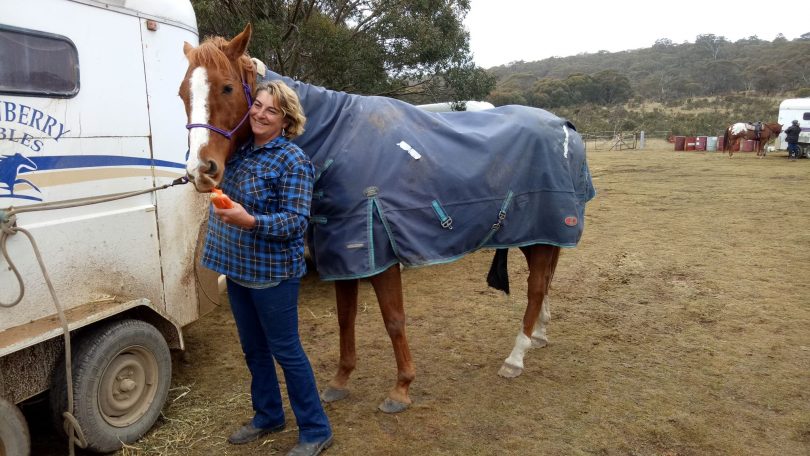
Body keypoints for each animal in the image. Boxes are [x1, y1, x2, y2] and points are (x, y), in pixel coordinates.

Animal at [177, 23, 592, 412]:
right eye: (183, 93)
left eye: (227, 87)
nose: (201, 170)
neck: (337, 139)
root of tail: (565, 126)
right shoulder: (342, 253)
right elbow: (346, 318)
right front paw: (340, 381)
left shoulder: (378, 253)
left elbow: (394, 319)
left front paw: (402, 388)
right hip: (534, 234)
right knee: (544, 281)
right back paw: (538, 335)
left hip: (543, 229)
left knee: (536, 288)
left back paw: (516, 357)